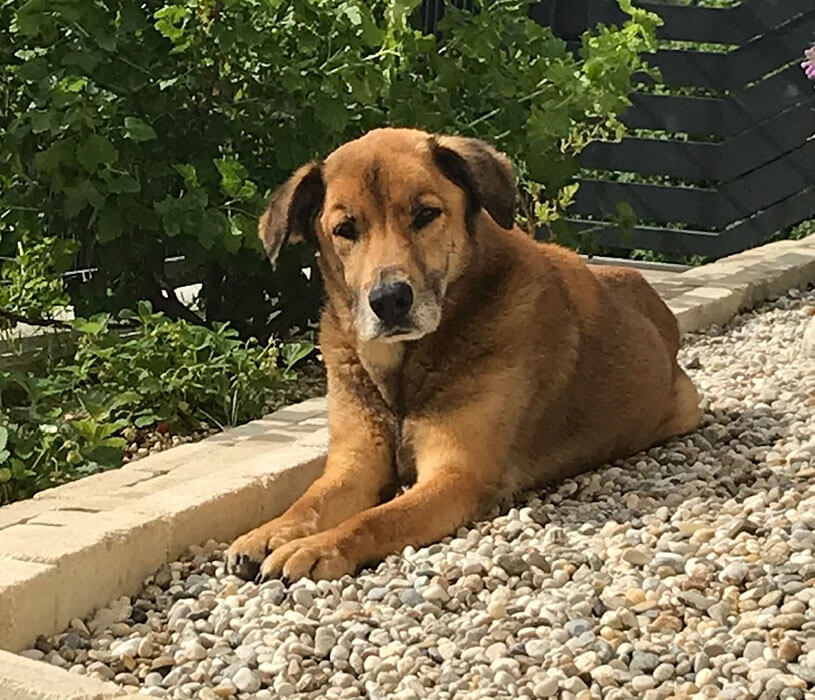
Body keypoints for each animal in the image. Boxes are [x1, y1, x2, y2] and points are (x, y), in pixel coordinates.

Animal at [226, 127, 701, 582]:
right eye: (346, 229)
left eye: (425, 214)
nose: (389, 300)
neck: (404, 372)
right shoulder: (355, 465)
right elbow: (309, 501)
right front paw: (269, 532)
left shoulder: (457, 475)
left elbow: (374, 520)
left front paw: (319, 547)